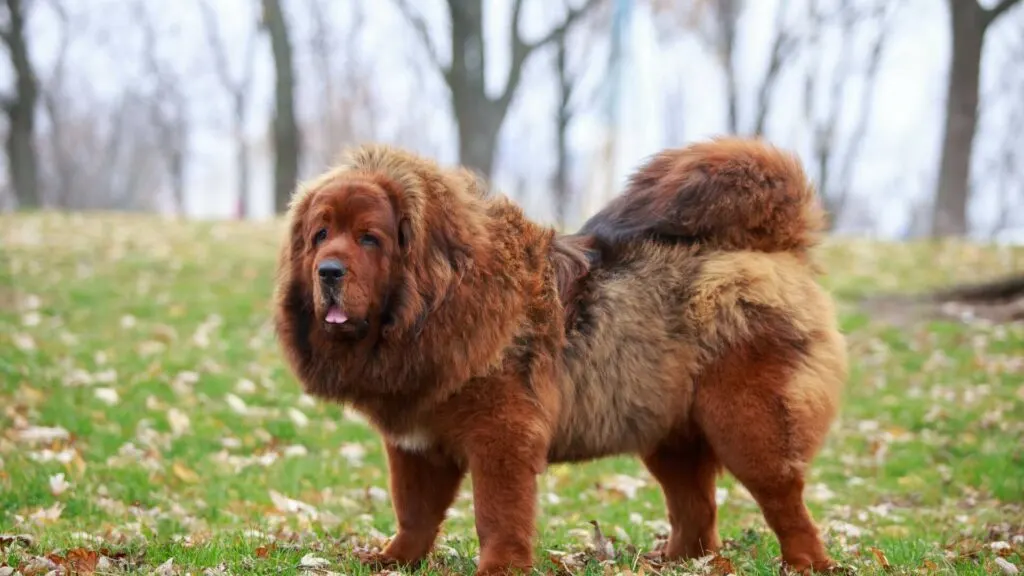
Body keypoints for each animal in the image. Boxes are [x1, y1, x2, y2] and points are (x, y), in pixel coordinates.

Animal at [272, 136, 847, 569]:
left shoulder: (501, 437)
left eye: (369, 239)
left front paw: (499, 567)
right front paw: (392, 561)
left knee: (785, 502)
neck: (436, 305)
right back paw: (673, 561)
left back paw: (804, 563)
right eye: (320, 235)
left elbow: (497, 514)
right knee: (697, 513)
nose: (328, 271)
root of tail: (777, 249)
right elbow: (414, 513)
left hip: (747, 425)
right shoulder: (416, 443)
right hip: (668, 433)